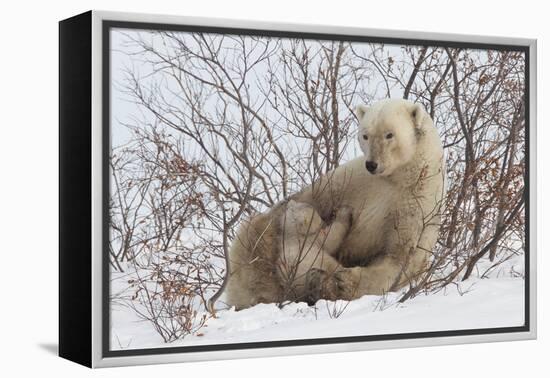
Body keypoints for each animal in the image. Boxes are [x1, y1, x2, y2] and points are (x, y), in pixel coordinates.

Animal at [215, 97, 444, 310]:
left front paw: (341, 282)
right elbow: (314, 201)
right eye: (365, 135)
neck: (398, 177)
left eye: (389, 134)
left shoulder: (414, 205)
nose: (372, 164)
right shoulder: (350, 181)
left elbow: (395, 257)